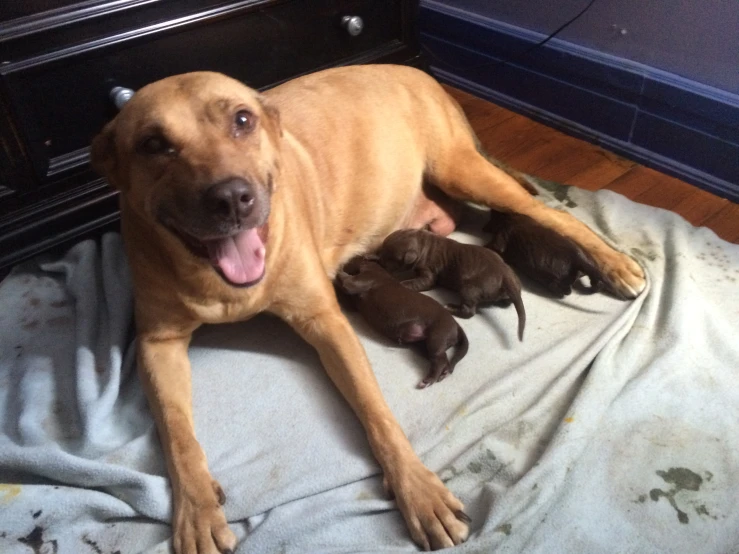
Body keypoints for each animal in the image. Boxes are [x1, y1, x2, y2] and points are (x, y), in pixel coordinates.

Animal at [336, 256, 468, 386]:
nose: (346, 261)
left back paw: (428, 380)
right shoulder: (353, 303)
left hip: (436, 338)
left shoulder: (359, 280)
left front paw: (337, 269)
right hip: (425, 345)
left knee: (440, 360)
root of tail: (457, 325)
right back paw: (442, 374)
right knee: (443, 361)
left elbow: (343, 278)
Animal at [378, 227, 528, 338]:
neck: (423, 243)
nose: (379, 262)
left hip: (470, 288)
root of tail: (505, 276)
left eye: (389, 258)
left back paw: (450, 307)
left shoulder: (428, 272)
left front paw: (401, 283)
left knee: (469, 310)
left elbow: (422, 282)